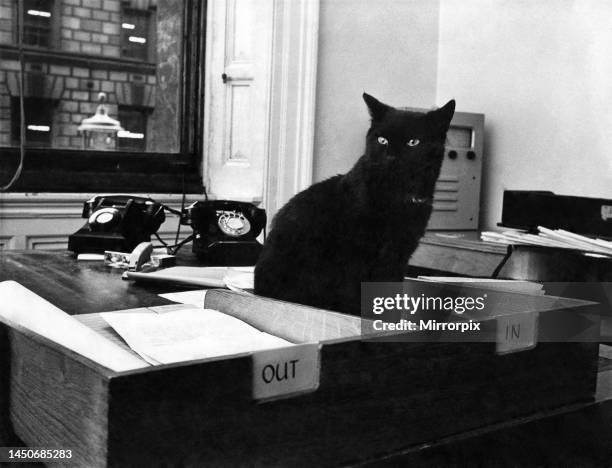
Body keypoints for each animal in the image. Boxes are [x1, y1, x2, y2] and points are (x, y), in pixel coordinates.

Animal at [253, 93, 454, 316]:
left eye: (413, 142)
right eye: (382, 140)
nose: (391, 157)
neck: (396, 197)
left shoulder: (399, 254)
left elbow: (391, 288)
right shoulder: (356, 253)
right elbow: (356, 288)